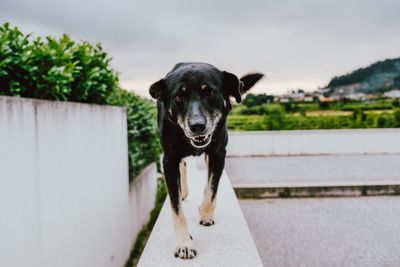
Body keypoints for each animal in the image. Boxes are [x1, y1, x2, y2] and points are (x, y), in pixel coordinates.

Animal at [148, 62, 260, 260]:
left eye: (210, 92)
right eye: (179, 96)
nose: (197, 126)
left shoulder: (218, 154)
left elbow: (212, 190)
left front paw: (205, 213)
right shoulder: (169, 159)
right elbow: (176, 209)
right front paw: (184, 243)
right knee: (183, 166)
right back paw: (183, 190)